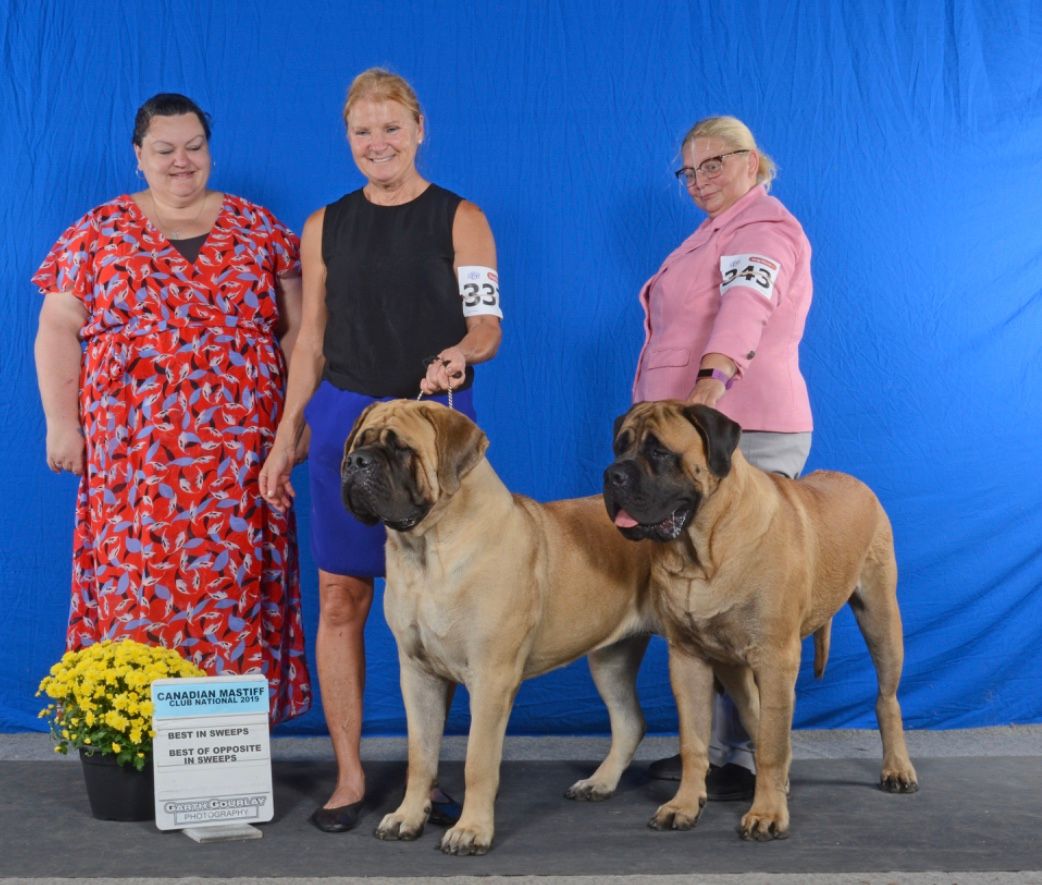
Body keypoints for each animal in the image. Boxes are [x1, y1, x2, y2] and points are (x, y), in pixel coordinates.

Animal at [341, 399, 658, 855]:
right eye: (357, 443)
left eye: (401, 449)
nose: (356, 462)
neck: (428, 550)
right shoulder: (418, 675)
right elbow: (421, 756)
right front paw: (407, 817)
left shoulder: (491, 678)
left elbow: (478, 761)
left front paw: (471, 830)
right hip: (611, 660)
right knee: (630, 721)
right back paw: (599, 782)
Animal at [603, 400, 918, 841]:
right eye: (620, 447)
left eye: (660, 452)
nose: (611, 475)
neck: (702, 550)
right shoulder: (687, 660)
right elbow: (694, 741)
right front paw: (684, 805)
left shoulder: (776, 657)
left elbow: (770, 745)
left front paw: (767, 814)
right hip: (733, 664)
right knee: (754, 712)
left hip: (881, 618)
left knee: (886, 698)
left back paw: (897, 769)